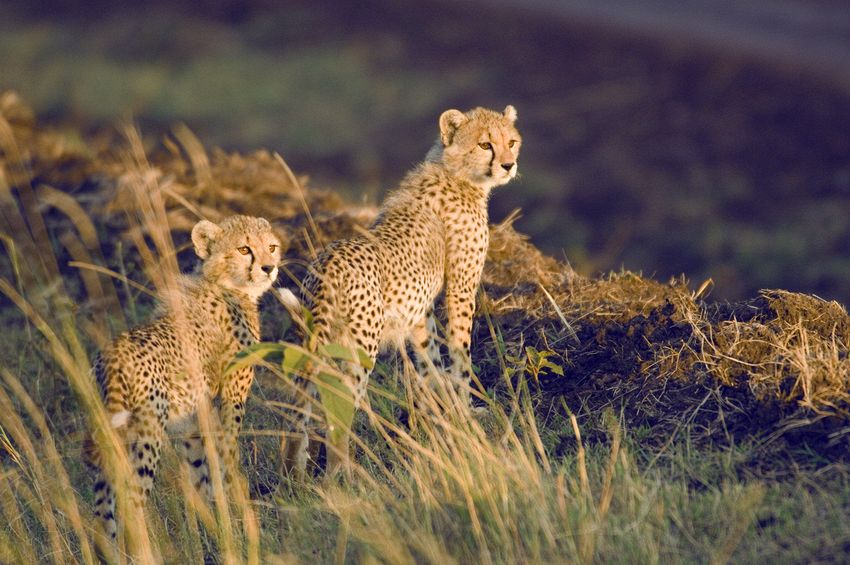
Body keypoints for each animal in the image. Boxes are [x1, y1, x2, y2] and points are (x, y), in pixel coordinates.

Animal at [85, 214, 281, 543]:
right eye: (244, 249)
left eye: (272, 247)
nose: (269, 267)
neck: (225, 285)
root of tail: (111, 354)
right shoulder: (231, 400)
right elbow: (226, 461)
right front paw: (237, 521)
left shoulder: (195, 415)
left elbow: (199, 472)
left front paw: (202, 530)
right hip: (148, 433)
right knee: (131, 500)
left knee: (102, 508)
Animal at [279, 105, 521, 478]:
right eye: (485, 144)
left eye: (511, 142)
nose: (509, 165)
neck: (453, 171)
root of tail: (326, 262)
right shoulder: (461, 287)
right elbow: (460, 355)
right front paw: (465, 412)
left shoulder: (419, 309)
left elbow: (429, 357)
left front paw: (439, 412)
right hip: (360, 346)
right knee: (339, 408)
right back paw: (342, 475)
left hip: (316, 341)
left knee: (298, 401)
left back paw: (295, 472)